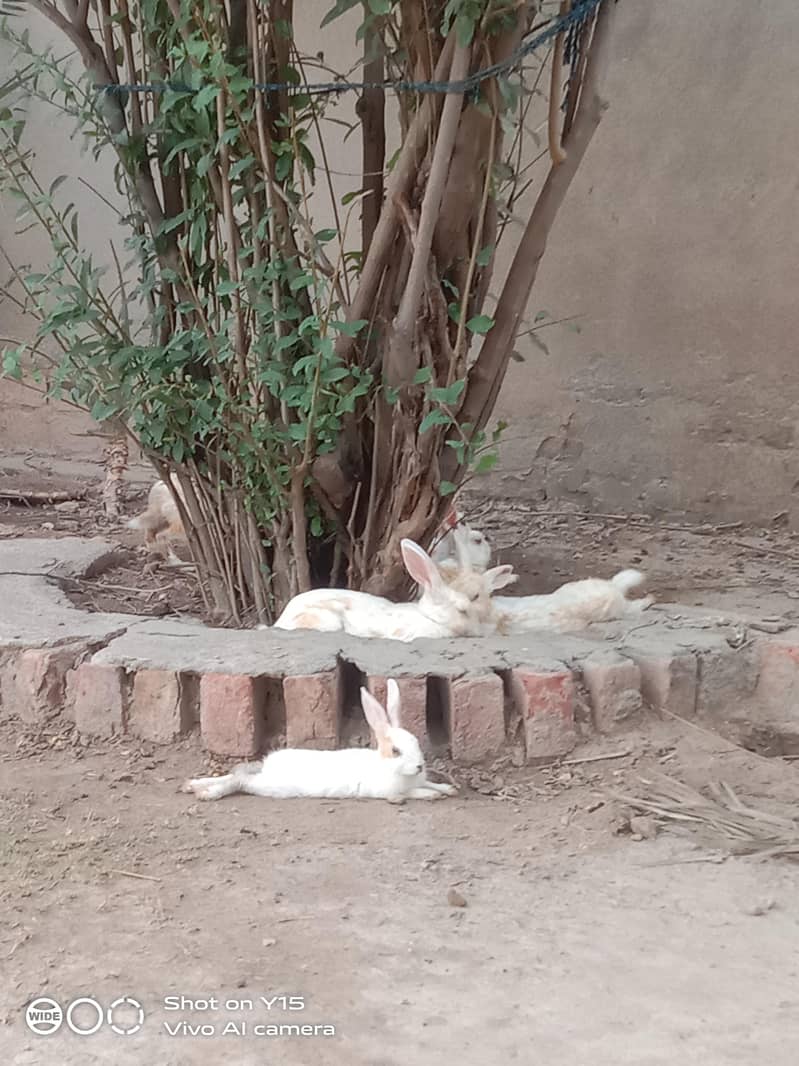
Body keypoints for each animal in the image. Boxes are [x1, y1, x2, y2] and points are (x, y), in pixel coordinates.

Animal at [181, 679, 458, 804]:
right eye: (396, 751)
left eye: (416, 742)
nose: (420, 766)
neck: (388, 767)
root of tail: (268, 766)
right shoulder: (387, 790)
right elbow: (413, 792)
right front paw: (432, 795)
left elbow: (431, 784)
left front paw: (448, 789)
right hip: (272, 786)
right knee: (240, 781)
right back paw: (206, 794)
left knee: (235, 774)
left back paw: (192, 785)